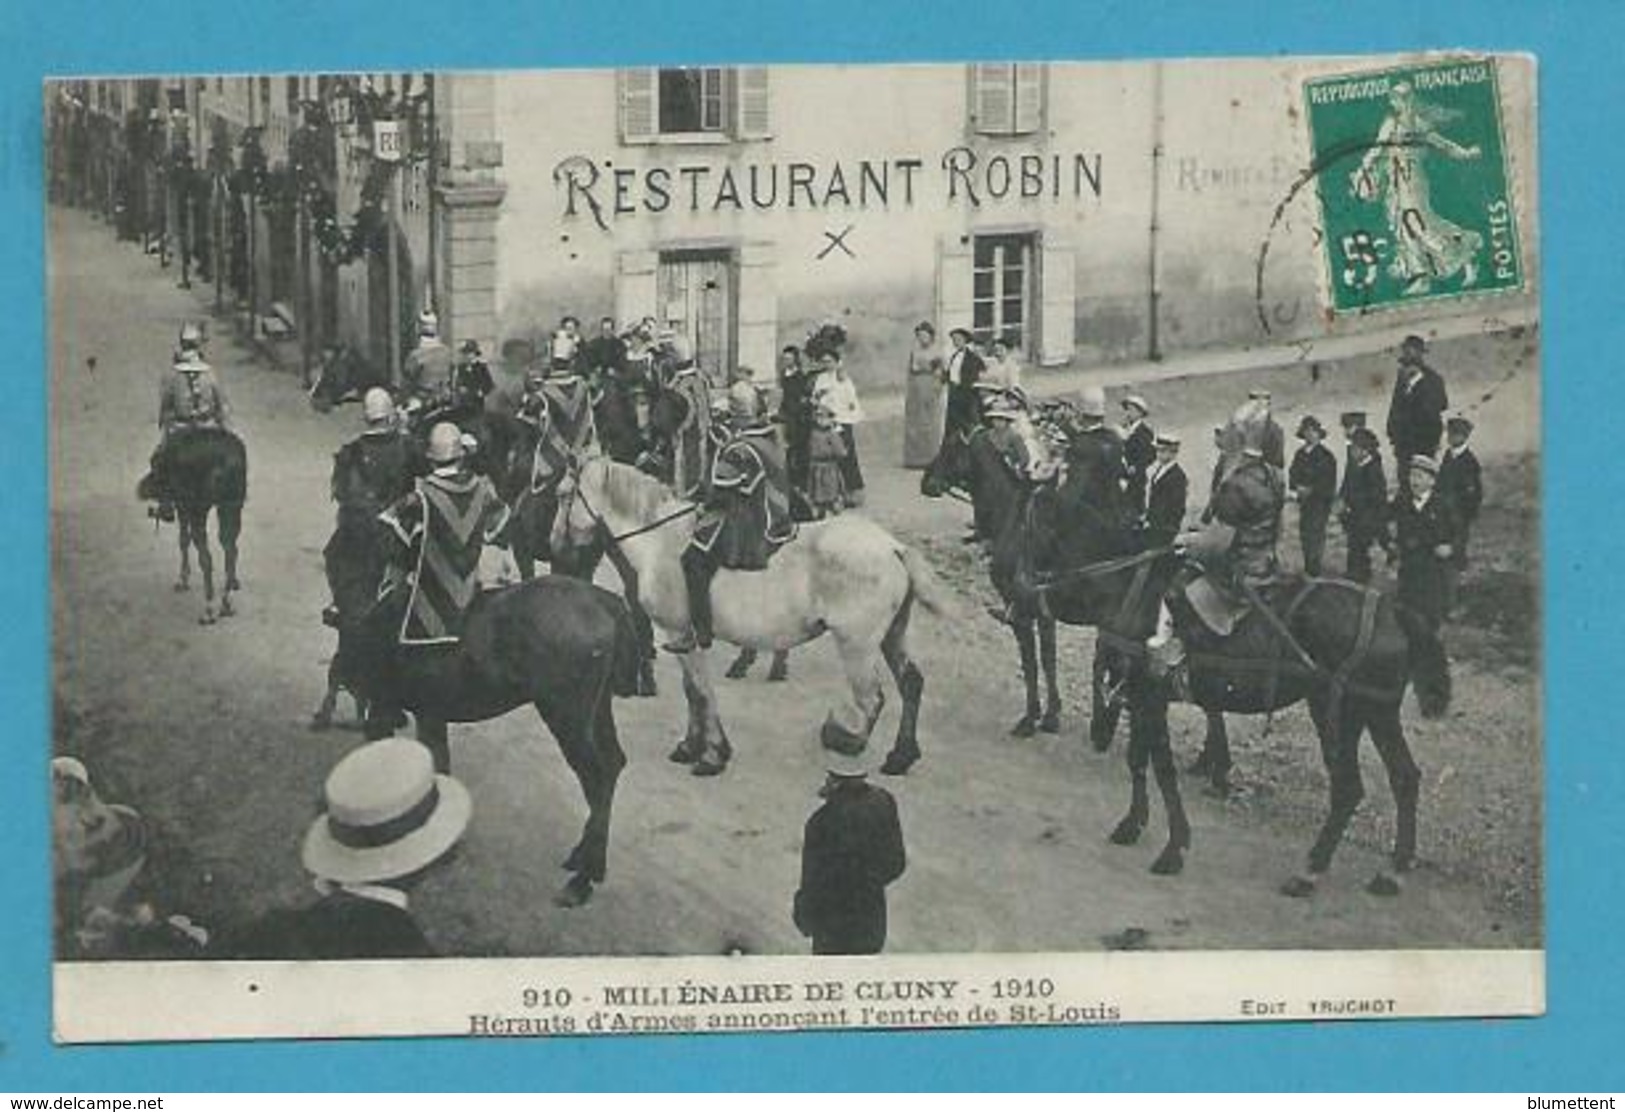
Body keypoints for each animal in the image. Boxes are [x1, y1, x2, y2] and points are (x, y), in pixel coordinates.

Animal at [147, 429, 247, 624]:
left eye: (155, 465)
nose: (162, 511)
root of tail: (227, 461)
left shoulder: (183, 506)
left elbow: (183, 540)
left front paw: (183, 580)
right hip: (232, 506)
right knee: (231, 549)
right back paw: (227, 601)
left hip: (199, 511)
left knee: (206, 557)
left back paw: (209, 608)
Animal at [549, 455, 949, 777]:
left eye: (563, 495)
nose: (555, 546)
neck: (661, 542)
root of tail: (893, 547)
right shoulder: (681, 641)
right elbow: (692, 692)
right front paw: (691, 746)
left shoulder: (682, 635)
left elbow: (700, 692)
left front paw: (713, 754)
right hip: (892, 636)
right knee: (910, 685)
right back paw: (901, 756)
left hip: (858, 646)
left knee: (872, 699)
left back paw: (848, 740)